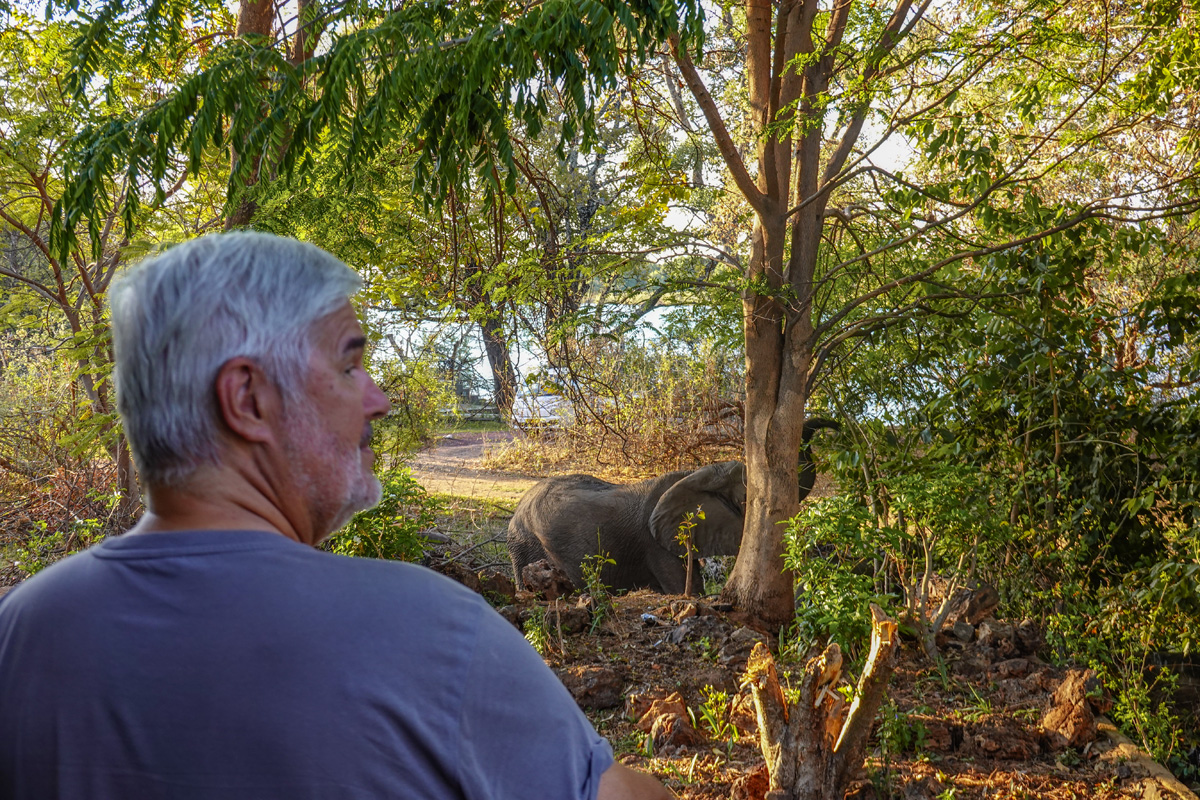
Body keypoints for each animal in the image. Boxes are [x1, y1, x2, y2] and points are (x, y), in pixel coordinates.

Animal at [507, 418, 839, 596]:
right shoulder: (654, 544)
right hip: (525, 545)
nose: (835, 425)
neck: (695, 473)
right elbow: (687, 591)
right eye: (748, 498)